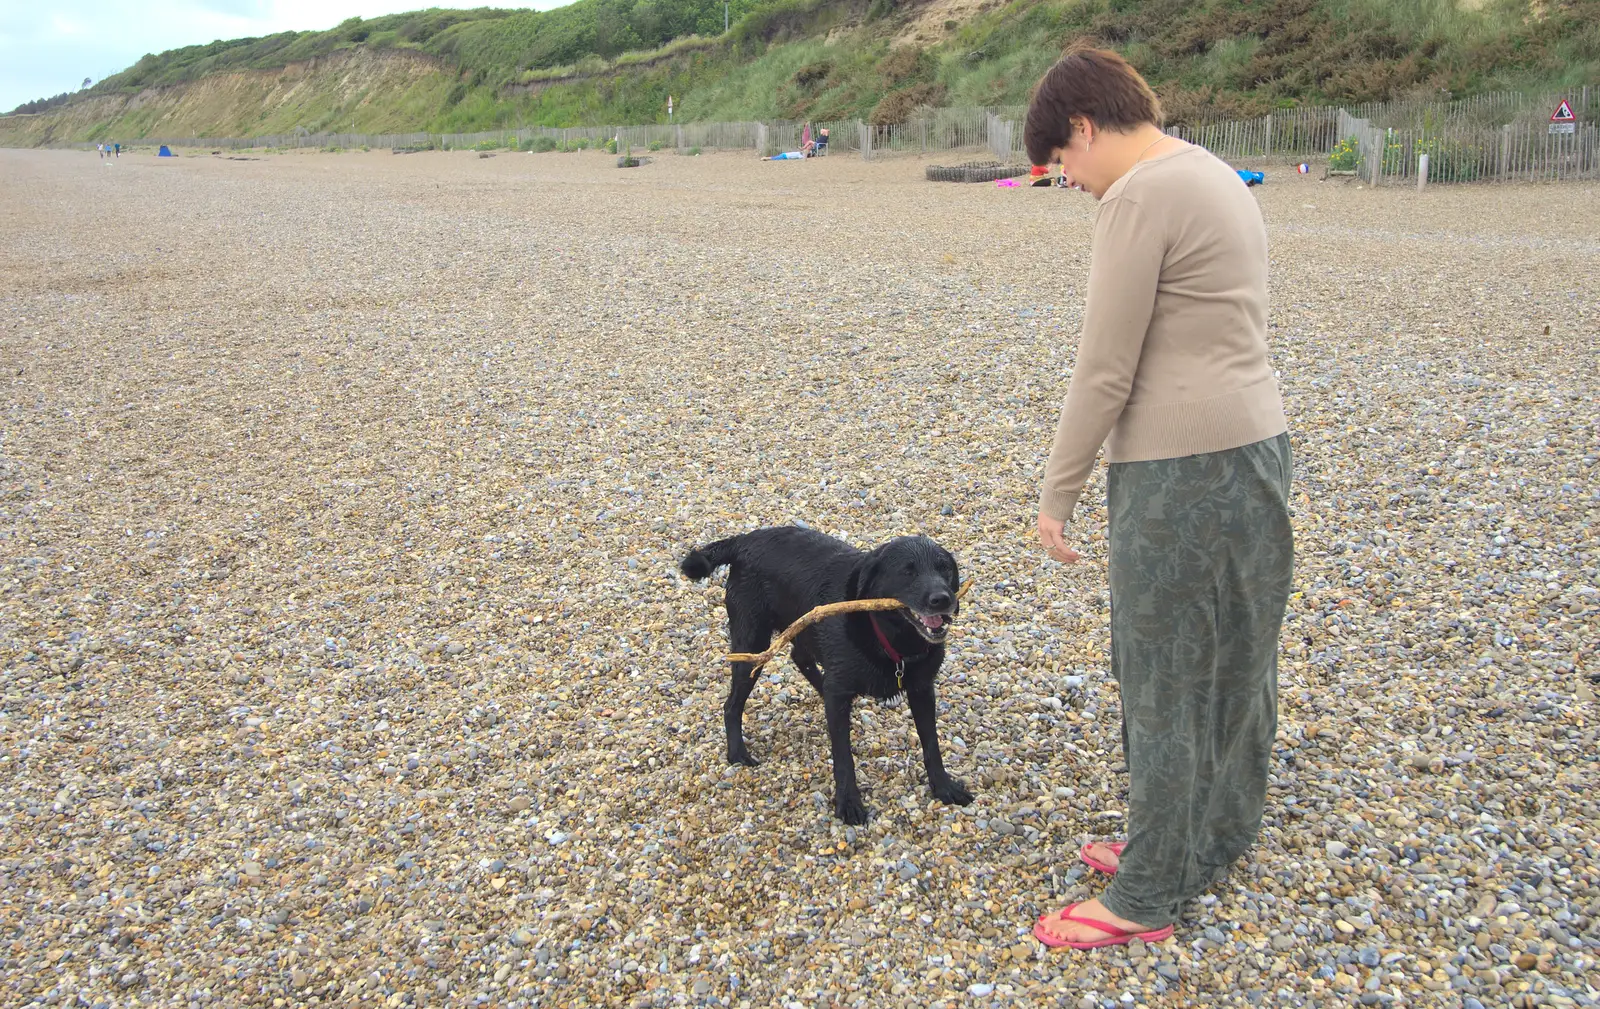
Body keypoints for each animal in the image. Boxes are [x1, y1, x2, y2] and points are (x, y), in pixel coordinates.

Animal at [678, 524, 972, 825]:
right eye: (907, 571)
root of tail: (744, 539)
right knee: (732, 704)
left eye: (944, 568)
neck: (893, 642)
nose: (942, 599)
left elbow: (931, 744)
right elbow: (843, 756)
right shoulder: (843, 689)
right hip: (752, 644)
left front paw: (944, 787)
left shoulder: (922, 689)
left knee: (801, 659)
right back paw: (738, 753)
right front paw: (849, 802)